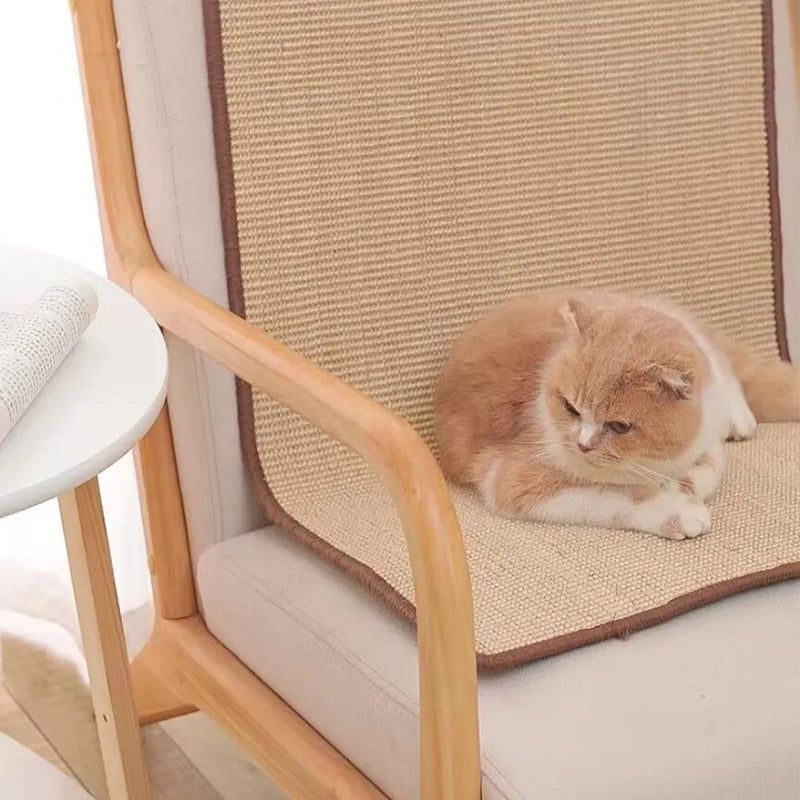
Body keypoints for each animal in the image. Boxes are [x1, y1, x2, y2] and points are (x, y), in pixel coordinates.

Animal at [434, 290, 800, 540]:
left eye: (619, 426)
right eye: (570, 408)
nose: (582, 445)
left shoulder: (704, 435)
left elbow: (712, 466)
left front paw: (681, 483)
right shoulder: (514, 478)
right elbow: (617, 499)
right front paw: (677, 506)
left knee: (720, 361)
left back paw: (738, 416)